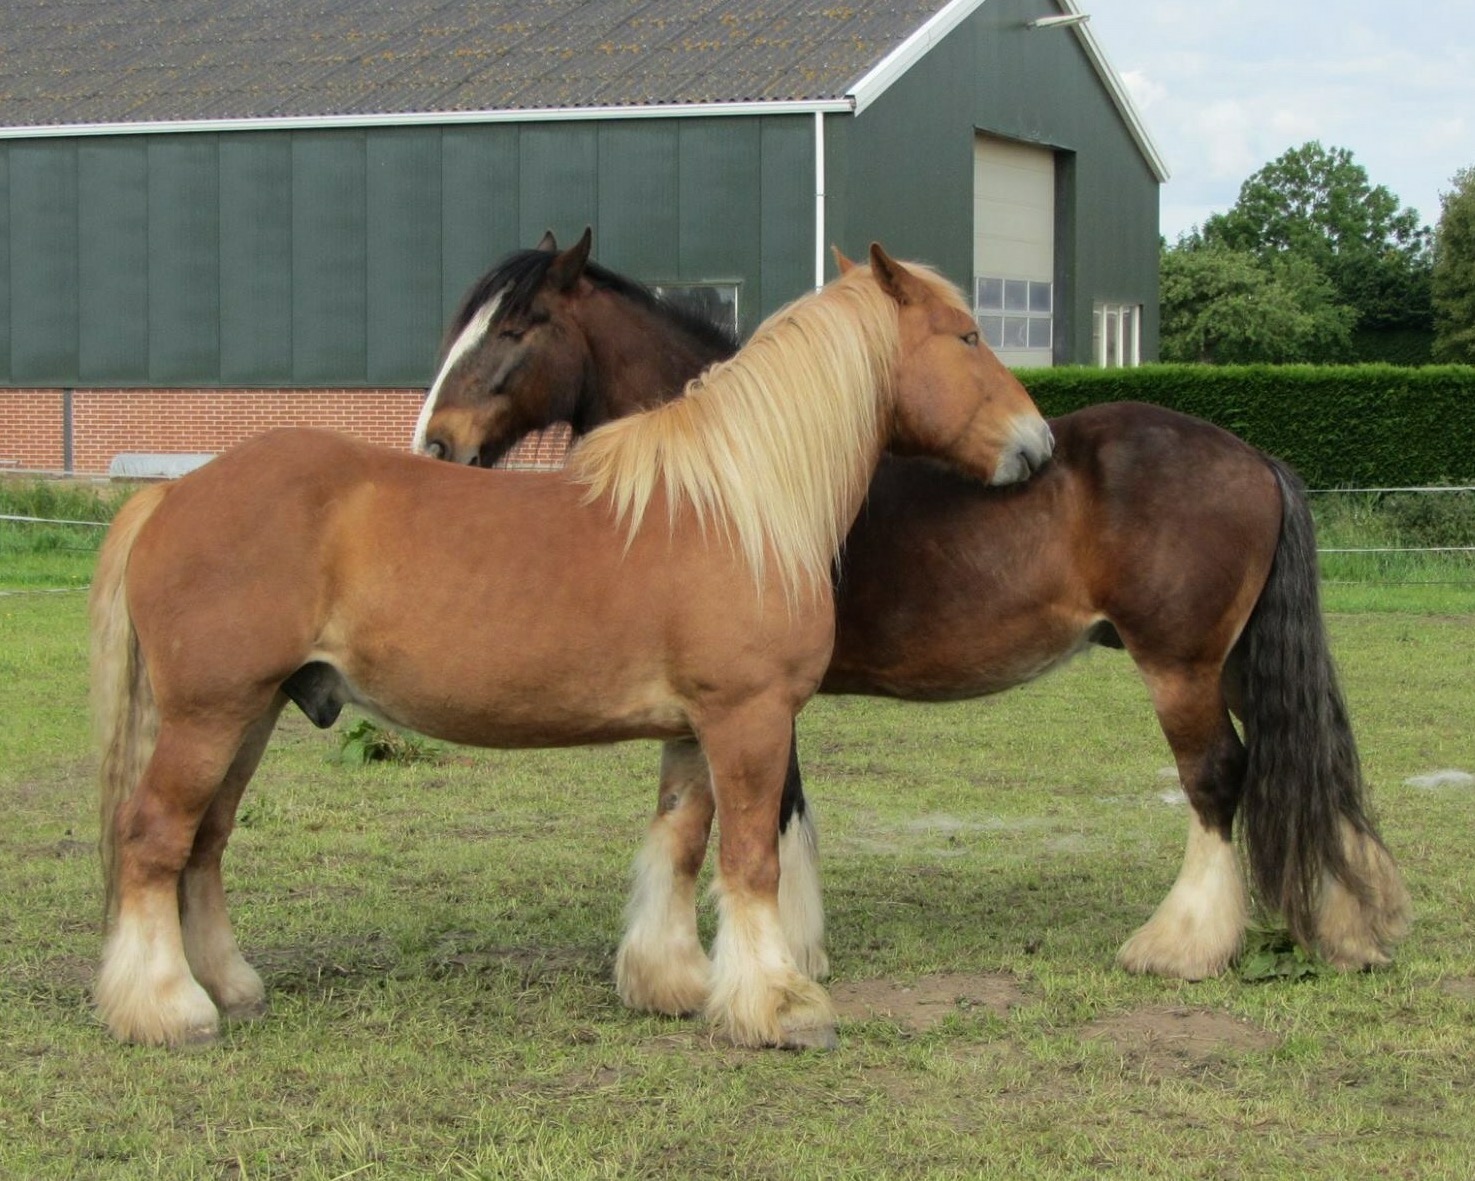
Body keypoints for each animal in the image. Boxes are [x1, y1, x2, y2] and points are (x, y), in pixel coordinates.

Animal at [90, 243, 1054, 1050]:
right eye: (968, 336)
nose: (1037, 443)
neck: (736, 505)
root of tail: (171, 496)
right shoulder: (749, 720)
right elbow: (750, 859)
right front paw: (779, 1005)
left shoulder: (693, 732)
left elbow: (679, 844)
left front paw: (674, 983)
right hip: (209, 716)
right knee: (153, 837)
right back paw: (168, 1007)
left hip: (250, 715)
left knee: (204, 842)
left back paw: (228, 984)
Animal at [415, 230, 1411, 1009]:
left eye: (515, 329)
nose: (435, 444)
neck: (735, 474)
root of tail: (1253, 458)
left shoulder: (762, 697)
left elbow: (776, 810)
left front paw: (791, 950)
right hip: (1234, 660)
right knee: (1304, 756)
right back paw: (1352, 926)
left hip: (1180, 667)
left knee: (1217, 778)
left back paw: (1182, 943)